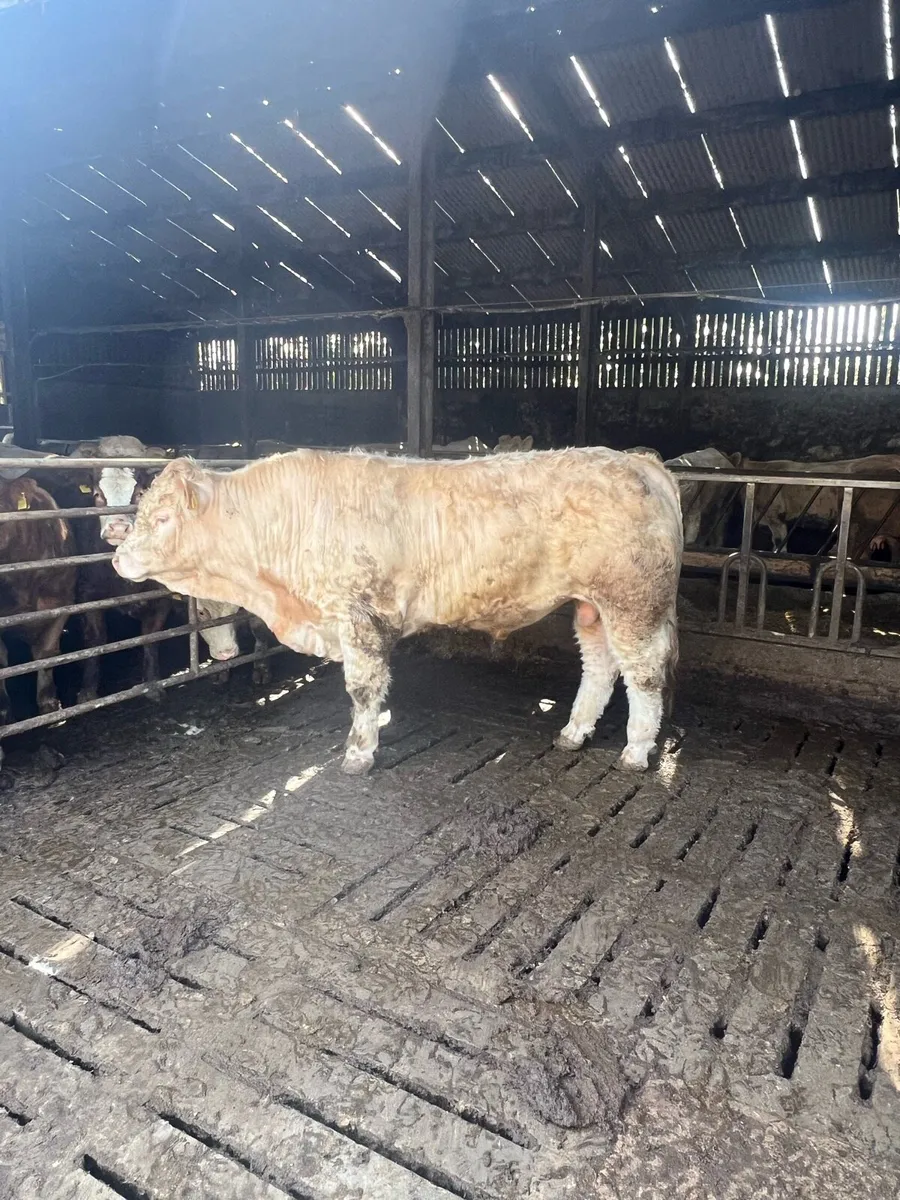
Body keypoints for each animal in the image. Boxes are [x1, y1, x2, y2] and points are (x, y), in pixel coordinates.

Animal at [113, 446, 682, 775]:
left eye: (162, 518)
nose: (117, 556)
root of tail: (640, 461)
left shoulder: (361, 617)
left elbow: (363, 688)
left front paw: (358, 754)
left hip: (634, 602)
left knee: (645, 673)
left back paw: (636, 752)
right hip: (592, 606)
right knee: (601, 665)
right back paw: (573, 733)